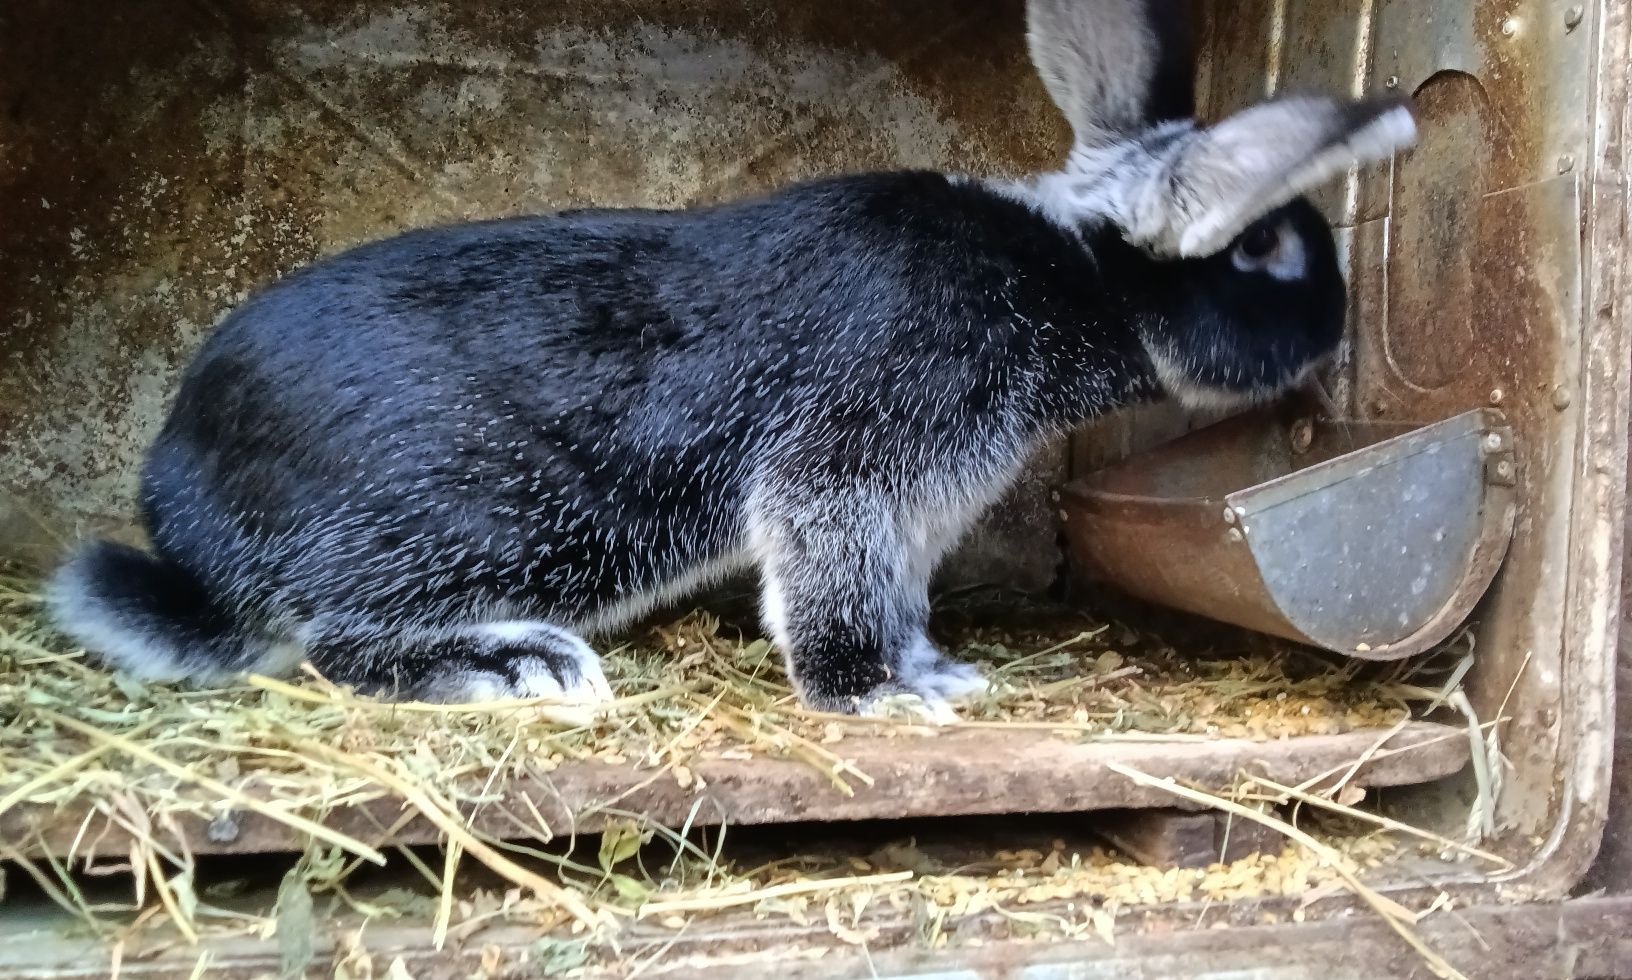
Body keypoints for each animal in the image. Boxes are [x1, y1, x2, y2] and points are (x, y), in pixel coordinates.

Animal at [47, 0, 1416, 718]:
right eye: (1269, 253)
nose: (1338, 330)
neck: (1074, 272)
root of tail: (181, 503)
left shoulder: (917, 509)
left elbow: (900, 592)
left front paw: (936, 667)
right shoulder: (853, 467)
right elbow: (832, 578)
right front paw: (881, 695)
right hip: (463, 527)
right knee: (335, 639)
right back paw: (516, 662)